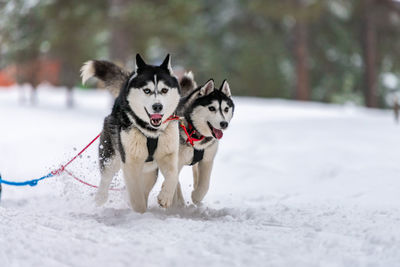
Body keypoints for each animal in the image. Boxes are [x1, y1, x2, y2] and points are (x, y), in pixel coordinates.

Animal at [80, 54, 180, 214]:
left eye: (164, 90)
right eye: (147, 90)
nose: (157, 106)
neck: (151, 132)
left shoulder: (168, 154)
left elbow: (173, 175)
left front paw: (165, 197)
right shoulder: (130, 161)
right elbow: (136, 195)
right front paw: (140, 211)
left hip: (149, 170)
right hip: (112, 157)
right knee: (106, 177)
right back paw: (100, 198)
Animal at [173, 74, 234, 206]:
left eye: (226, 109)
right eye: (211, 108)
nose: (224, 124)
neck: (196, 133)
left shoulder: (207, 159)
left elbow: (205, 185)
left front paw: (196, 196)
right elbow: (173, 182)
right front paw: (177, 202)